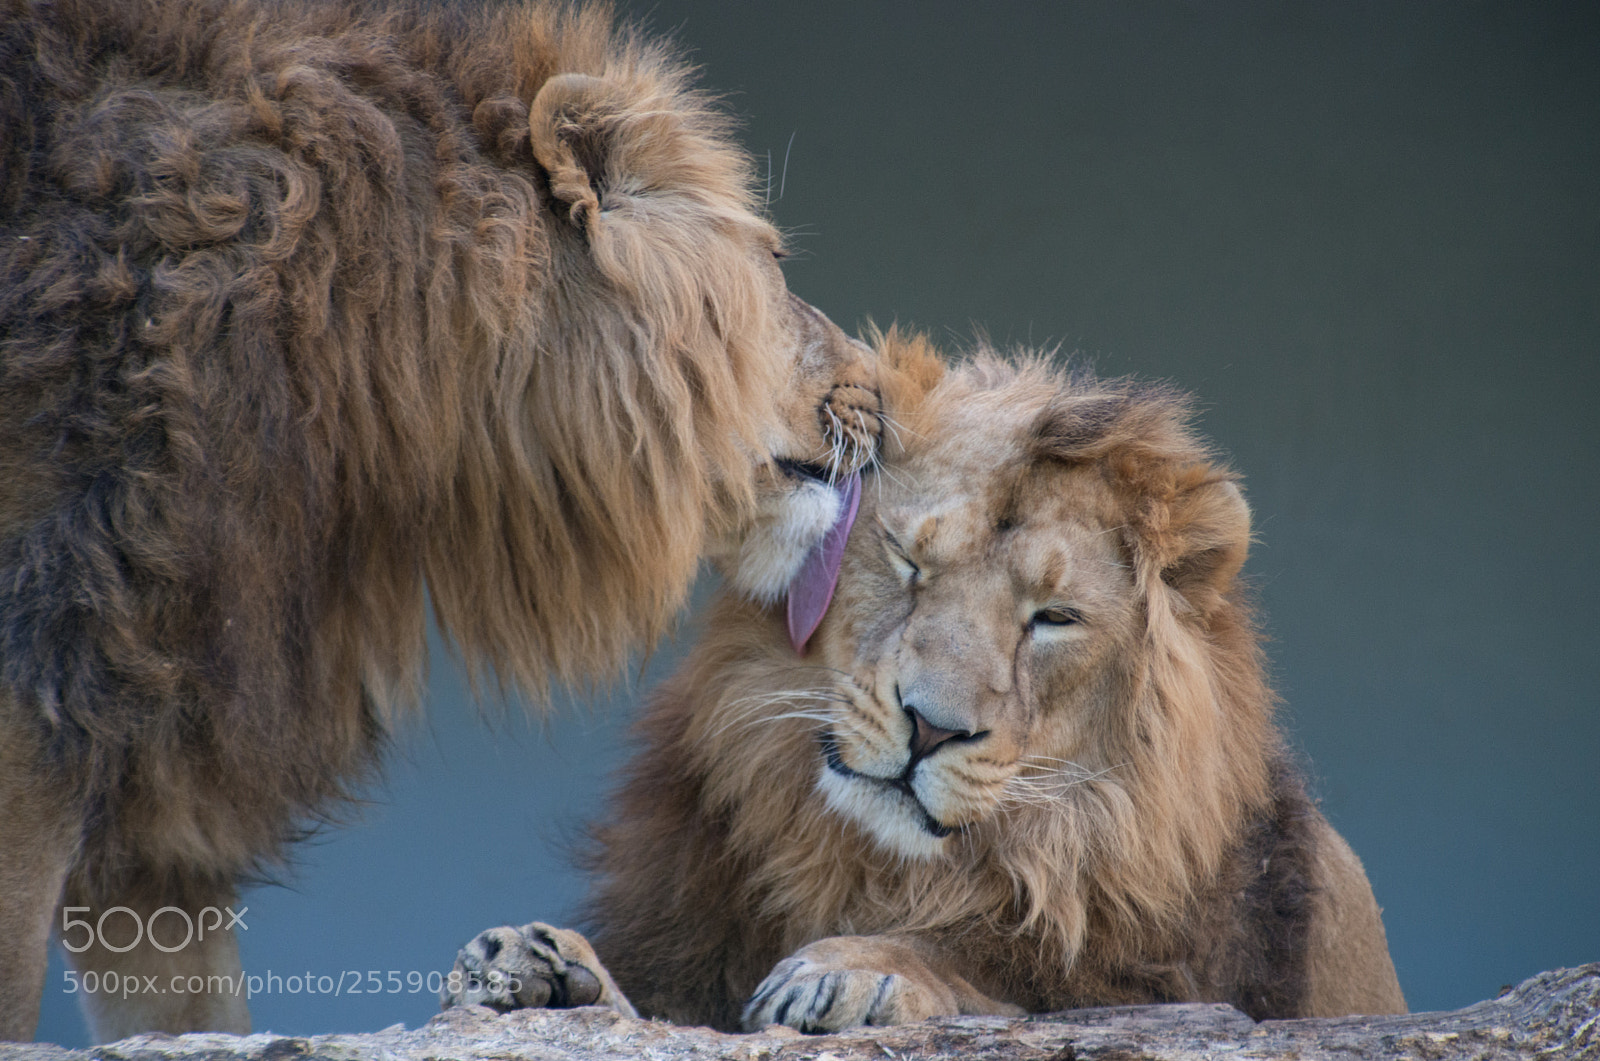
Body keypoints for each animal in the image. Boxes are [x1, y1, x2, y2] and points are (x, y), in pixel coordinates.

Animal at [444, 332, 1405, 1031]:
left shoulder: (1172, 986)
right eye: (908, 559)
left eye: (1054, 616)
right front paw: (544, 964)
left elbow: (998, 971)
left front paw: (856, 968)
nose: (932, 727)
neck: (874, 866)